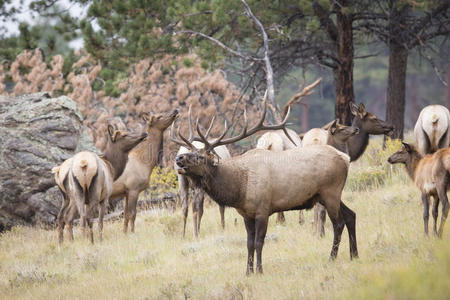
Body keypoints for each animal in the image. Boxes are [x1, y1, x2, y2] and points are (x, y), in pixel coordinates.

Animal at [172, 102, 358, 274]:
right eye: (190, 151)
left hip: (330, 191)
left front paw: (259, 270)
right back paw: (354, 255)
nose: (178, 158)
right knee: (351, 215)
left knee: (339, 223)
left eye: (200, 156)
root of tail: (345, 158)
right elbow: (249, 243)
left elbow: (259, 242)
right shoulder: (246, 214)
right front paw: (248, 272)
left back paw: (332, 258)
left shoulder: (263, 209)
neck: (239, 189)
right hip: (328, 194)